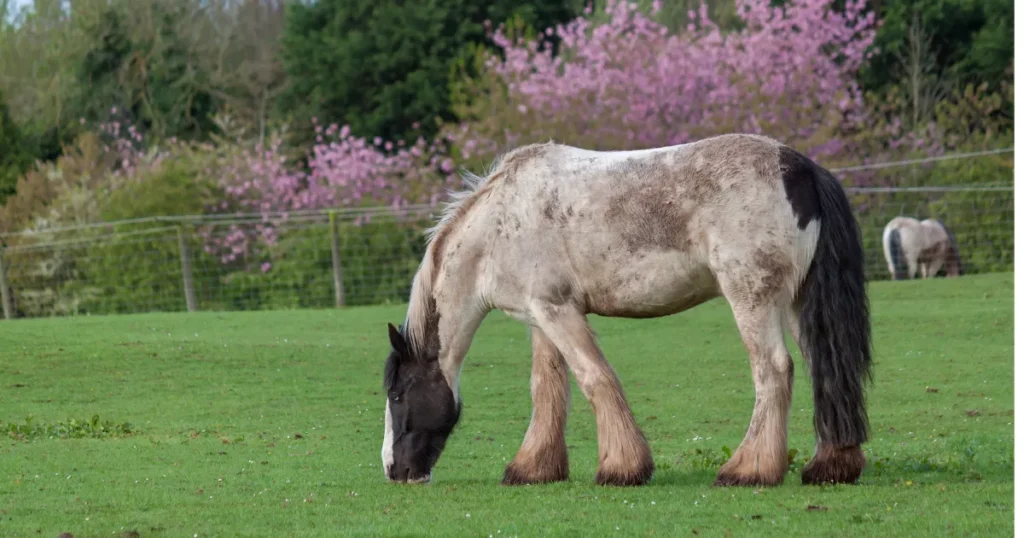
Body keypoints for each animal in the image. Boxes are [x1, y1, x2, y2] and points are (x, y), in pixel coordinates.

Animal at [380, 133, 868, 485]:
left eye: (398, 394)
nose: (393, 470)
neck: (499, 224)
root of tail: (800, 168)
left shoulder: (557, 311)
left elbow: (595, 379)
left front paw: (621, 468)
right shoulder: (542, 317)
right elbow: (547, 390)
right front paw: (533, 469)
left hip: (752, 298)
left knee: (774, 371)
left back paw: (748, 470)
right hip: (797, 304)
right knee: (824, 370)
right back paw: (831, 467)